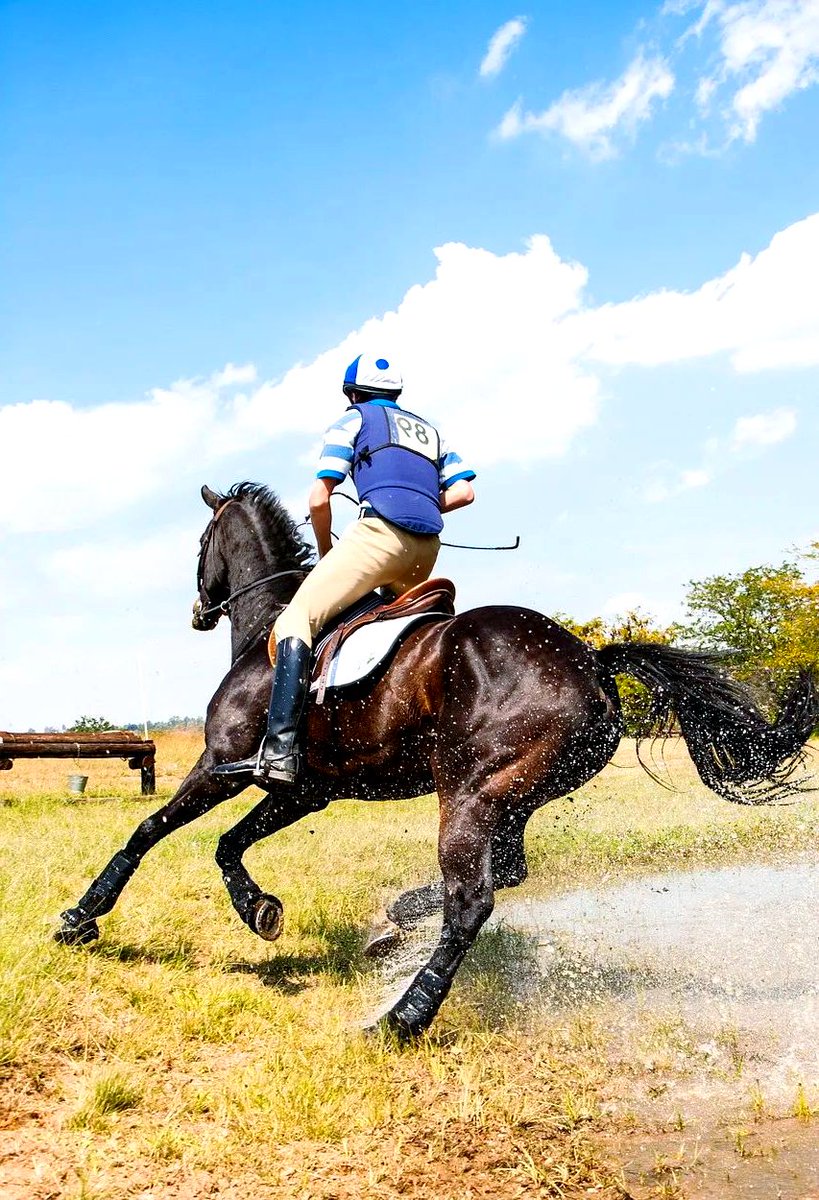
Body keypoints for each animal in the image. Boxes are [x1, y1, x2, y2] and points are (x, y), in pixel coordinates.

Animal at [56, 482, 818, 1039]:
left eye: (200, 545)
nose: (197, 608)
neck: (272, 624)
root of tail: (590, 663)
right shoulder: (304, 790)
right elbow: (228, 844)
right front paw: (260, 910)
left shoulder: (219, 765)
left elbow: (149, 830)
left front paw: (81, 917)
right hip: (511, 795)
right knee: (504, 872)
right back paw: (394, 926)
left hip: (471, 794)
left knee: (472, 900)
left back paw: (401, 1016)